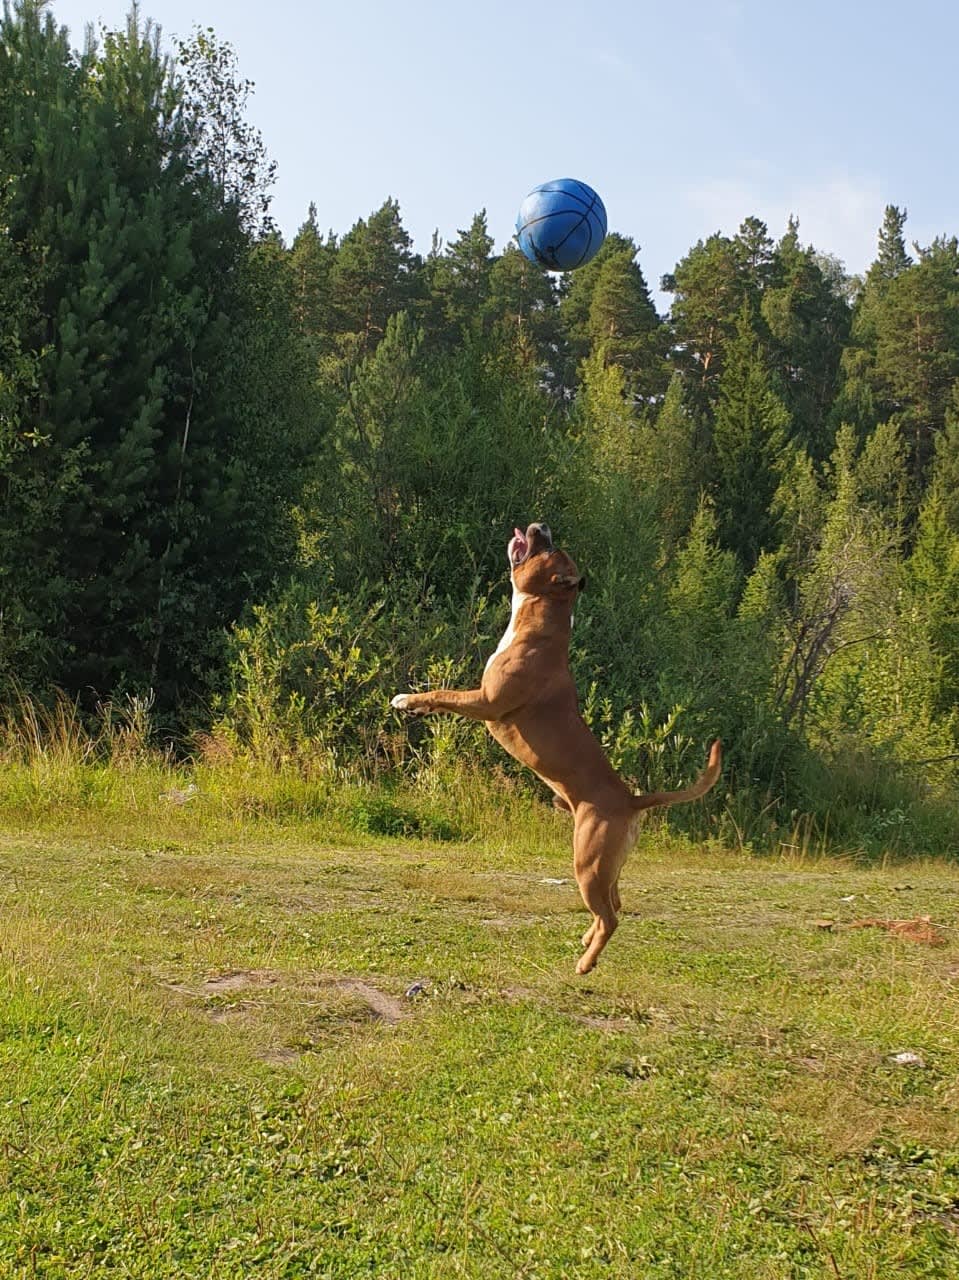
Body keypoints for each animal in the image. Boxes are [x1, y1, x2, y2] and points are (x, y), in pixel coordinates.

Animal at [391, 522, 722, 973]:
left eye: (550, 549)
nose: (541, 526)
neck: (541, 620)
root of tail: (632, 800)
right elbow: (442, 697)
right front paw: (415, 708)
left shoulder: (484, 701)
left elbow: (444, 692)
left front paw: (407, 700)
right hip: (608, 868)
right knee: (615, 903)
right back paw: (585, 941)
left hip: (588, 863)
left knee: (611, 916)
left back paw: (585, 963)